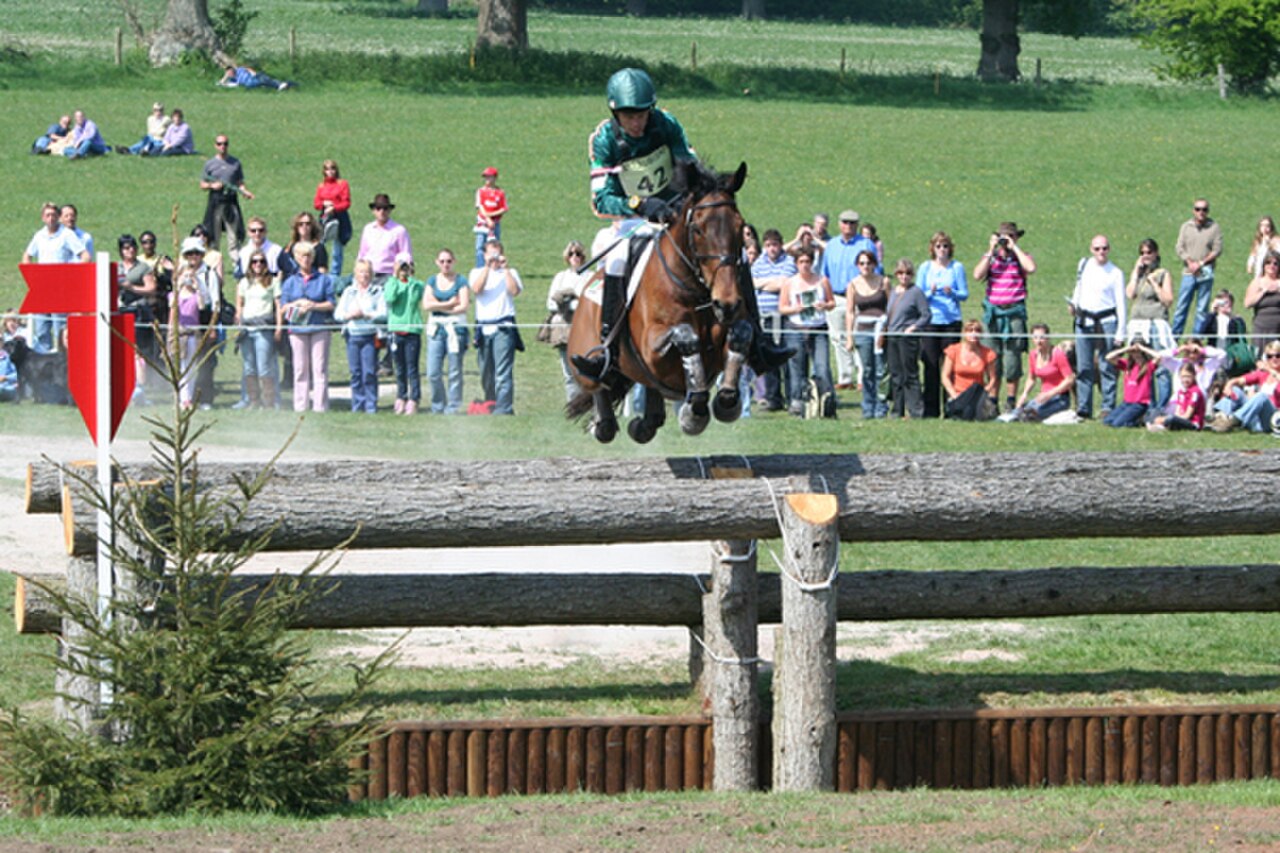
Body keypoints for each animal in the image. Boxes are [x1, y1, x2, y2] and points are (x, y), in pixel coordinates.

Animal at [565, 156, 752, 445]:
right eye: (697, 229)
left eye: (740, 227)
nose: (727, 303)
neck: (693, 291)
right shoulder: (652, 347)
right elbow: (686, 336)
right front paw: (694, 414)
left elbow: (742, 332)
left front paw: (725, 401)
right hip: (585, 354)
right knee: (597, 385)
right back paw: (602, 420)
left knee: (648, 402)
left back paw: (643, 423)